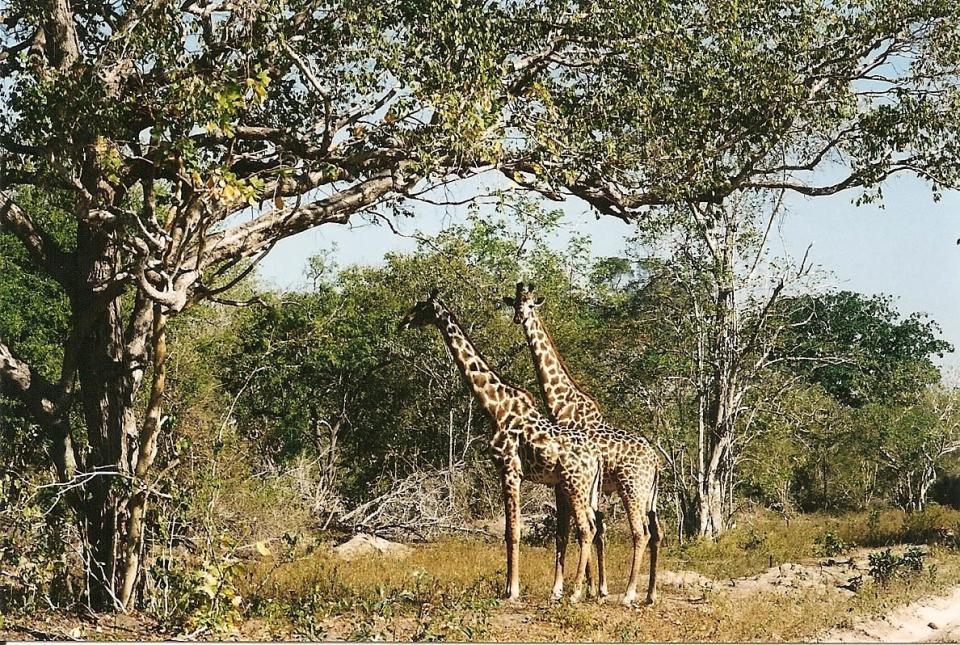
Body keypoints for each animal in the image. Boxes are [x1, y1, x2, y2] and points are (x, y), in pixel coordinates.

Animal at [402, 290, 604, 600]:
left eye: (422, 306)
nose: (404, 321)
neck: (495, 406)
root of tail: (595, 460)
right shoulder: (510, 473)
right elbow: (514, 531)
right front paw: (512, 586)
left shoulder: (509, 469)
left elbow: (513, 532)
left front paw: (512, 590)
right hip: (584, 489)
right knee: (592, 527)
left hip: (574, 486)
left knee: (586, 528)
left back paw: (576, 592)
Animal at [502, 280, 660, 604]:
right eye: (515, 303)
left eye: (531, 304)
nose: (519, 318)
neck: (562, 404)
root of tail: (656, 461)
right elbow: (594, 531)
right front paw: (595, 588)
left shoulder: (564, 482)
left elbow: (574, 531)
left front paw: (580, 589)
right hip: (649, 496)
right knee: (656, 533)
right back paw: (649, 594)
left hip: (632, 490)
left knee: (641, 533)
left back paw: (629, 594)